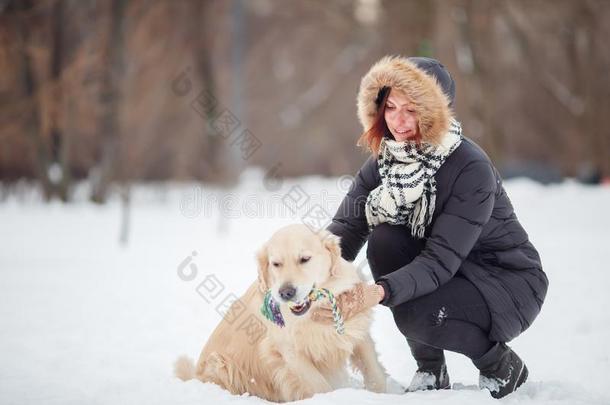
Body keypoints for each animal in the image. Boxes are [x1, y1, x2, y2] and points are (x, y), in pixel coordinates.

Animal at [175, 224, 384, 400]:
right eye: (276, 264)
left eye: (304, 259)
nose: (286, 292)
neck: (310, 315)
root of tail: (195, 377)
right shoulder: (288, 352)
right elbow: (320, 386)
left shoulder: (357, 331)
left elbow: (375, 373)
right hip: (220, 362)